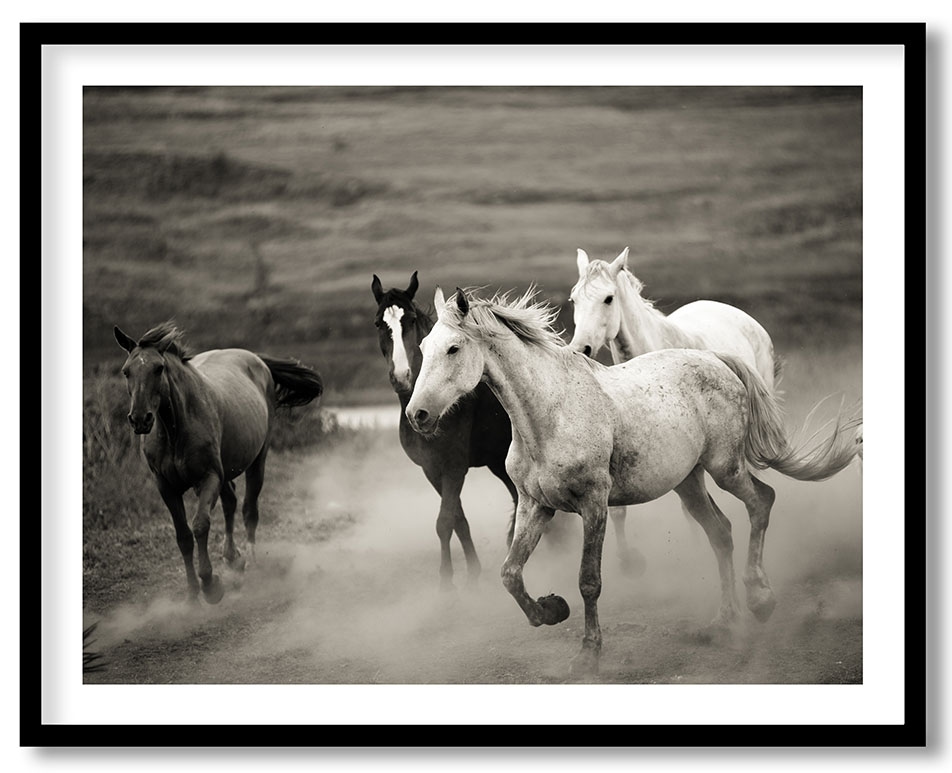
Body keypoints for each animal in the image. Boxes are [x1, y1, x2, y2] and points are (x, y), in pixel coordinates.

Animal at [114, 321, 324, 604]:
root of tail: (256, 358)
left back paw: (251, 562)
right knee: (230, 503)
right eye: (126, 371)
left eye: (158, 368)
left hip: (257, 460)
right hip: (225, 471)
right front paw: (192, 593)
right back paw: (233, 558)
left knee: (249, 509)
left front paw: (211, 585)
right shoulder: (166, 487)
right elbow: (183, 536)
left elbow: (200, 525)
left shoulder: (208, 478)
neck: (175, 430)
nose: (139, 419)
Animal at [372, 271, 518, 590]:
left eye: (412, 319)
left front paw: (446, 584)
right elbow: (458, 521)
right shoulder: (432, 469)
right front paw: (472, 572)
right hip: (497, 462)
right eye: (378, 323)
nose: (401, 377)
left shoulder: (454, 468)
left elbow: (444, 522)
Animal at [406, 286, 862, 676]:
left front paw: (588, 654)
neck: (549, 415)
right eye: (423, 348)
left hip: (725, 467)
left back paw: (760, 598)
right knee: (721, 533)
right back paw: (724, 621)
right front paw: (551, 610)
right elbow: (510, 573)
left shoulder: (593, 504)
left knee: (761, 501)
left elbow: (589, 581)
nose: (417, 415)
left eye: (453, 348)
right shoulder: (537, 505)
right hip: (689, 483)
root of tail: (716, 359)